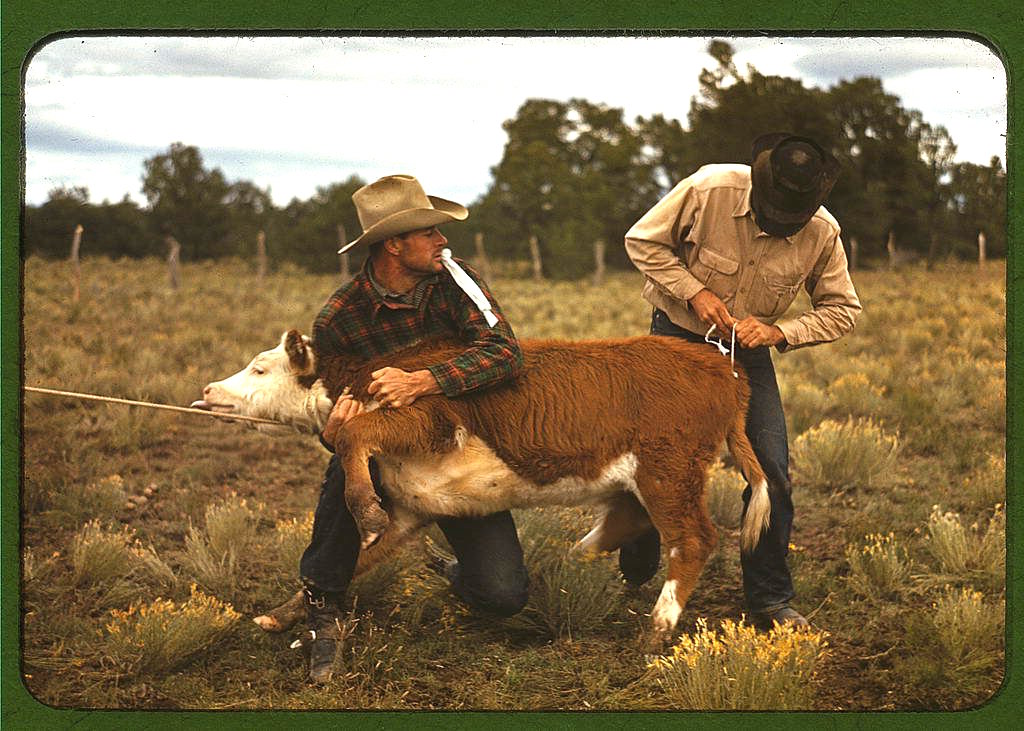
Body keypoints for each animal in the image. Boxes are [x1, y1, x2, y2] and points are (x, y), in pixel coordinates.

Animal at [193, 329, 770, 638]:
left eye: (261, 368)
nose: (210, 389)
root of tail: (723, 370)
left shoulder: (425, 419)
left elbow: (354, 434)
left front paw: (365, 511)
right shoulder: (414, 508)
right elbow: (359, 558)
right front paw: (283, 615)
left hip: (669, 471)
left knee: (693, 540)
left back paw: (658, 627)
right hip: (641, 479)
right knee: (621, 526)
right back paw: (560, 571)